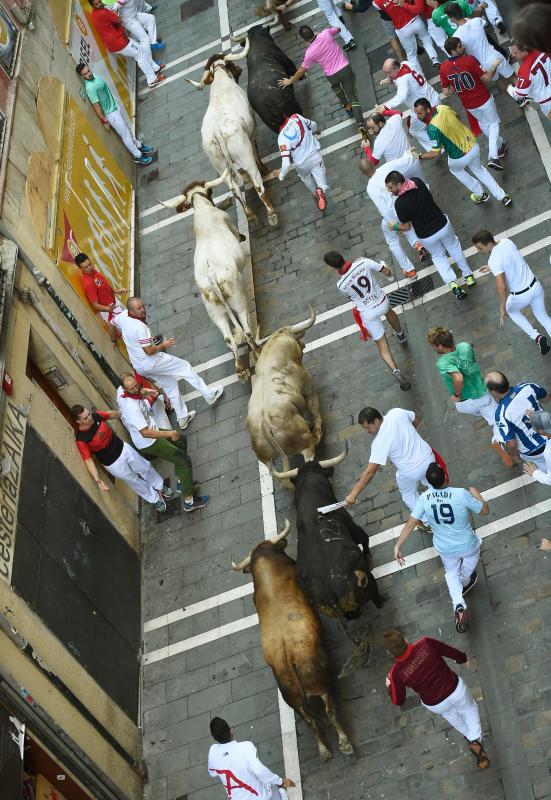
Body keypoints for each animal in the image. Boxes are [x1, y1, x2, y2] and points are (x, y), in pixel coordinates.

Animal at [160, 169, 254, 382]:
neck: (203, 210)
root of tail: (212, 276)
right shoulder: (229, 223)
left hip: (214, 310)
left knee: (228, 338)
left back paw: (241, 369)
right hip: (237, 299)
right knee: (246, 328)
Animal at [187, 39, 280, 228]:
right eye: (231, 65)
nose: (239, 69)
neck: (221, 80)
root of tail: (217, 132)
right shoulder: (252, 129)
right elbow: (256, 150)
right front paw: (264, 168)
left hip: (220, 164)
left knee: (234, 188)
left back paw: (251, 216)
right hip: (244, 157)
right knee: (257, 183)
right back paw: (271, 213)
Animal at [232, 520, 354, 760]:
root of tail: (288, 657)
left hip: (292, 698)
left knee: (310, 721)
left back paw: (324, 750)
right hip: (321, 683)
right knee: (329, 710)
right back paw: (344, 743)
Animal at [247, 308, 324, 488]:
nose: (303, 345)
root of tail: (265, 425)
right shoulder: (308, 389)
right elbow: (315, 411)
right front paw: (318, 431)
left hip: (267, 461)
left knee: (282, 480)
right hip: (304, 443)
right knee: (308, 457)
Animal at [274, 450, 386, 676]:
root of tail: (329, 592)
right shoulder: (353, 528)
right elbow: (365, 539)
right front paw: (369, 558)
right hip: (368, 583)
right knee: (374, 597)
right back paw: (382, 599)